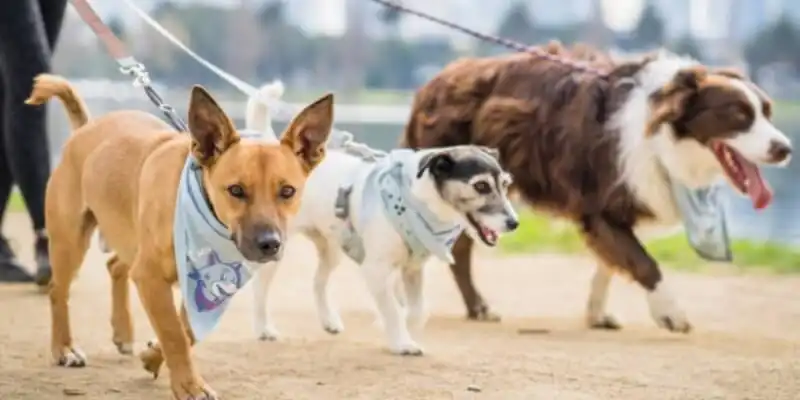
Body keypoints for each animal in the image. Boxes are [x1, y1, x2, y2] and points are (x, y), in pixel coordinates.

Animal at [27, 74, 334, 396]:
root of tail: (85, 128)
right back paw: (64, 349)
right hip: (71, 242)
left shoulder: (200, 284)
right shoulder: (150, 276)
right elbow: (173, 332)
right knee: (58, 291)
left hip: (130, 240)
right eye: (236, 190)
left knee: (115, 266)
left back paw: (123, 332)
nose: (269, 244)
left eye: (287, 191)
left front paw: (153, 356)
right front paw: (190, 386)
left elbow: (186, 331)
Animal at [247, 83, 516, 354]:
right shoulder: (376, 270)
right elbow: (393, 310)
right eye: (481, 186)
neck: (415, 202)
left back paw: (329, 321)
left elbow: (417, 311)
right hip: (275, 250)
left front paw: (405, 331)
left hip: (331, 247)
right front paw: (401, 342)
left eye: (505, 184)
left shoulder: (412, 270)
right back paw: (263, 329)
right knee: (259, 288)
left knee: (318, 282)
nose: (514, 224)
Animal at [406, 46, 792, 332]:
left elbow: (610, 263)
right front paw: (670, 312)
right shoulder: (600, 204)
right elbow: (644, 262)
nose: (785, 149)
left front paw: (597, 313)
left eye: (767, 113)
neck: (662, 133)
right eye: (738, 114)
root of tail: (433, 83)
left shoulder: (620, 205)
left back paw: (476, 307)